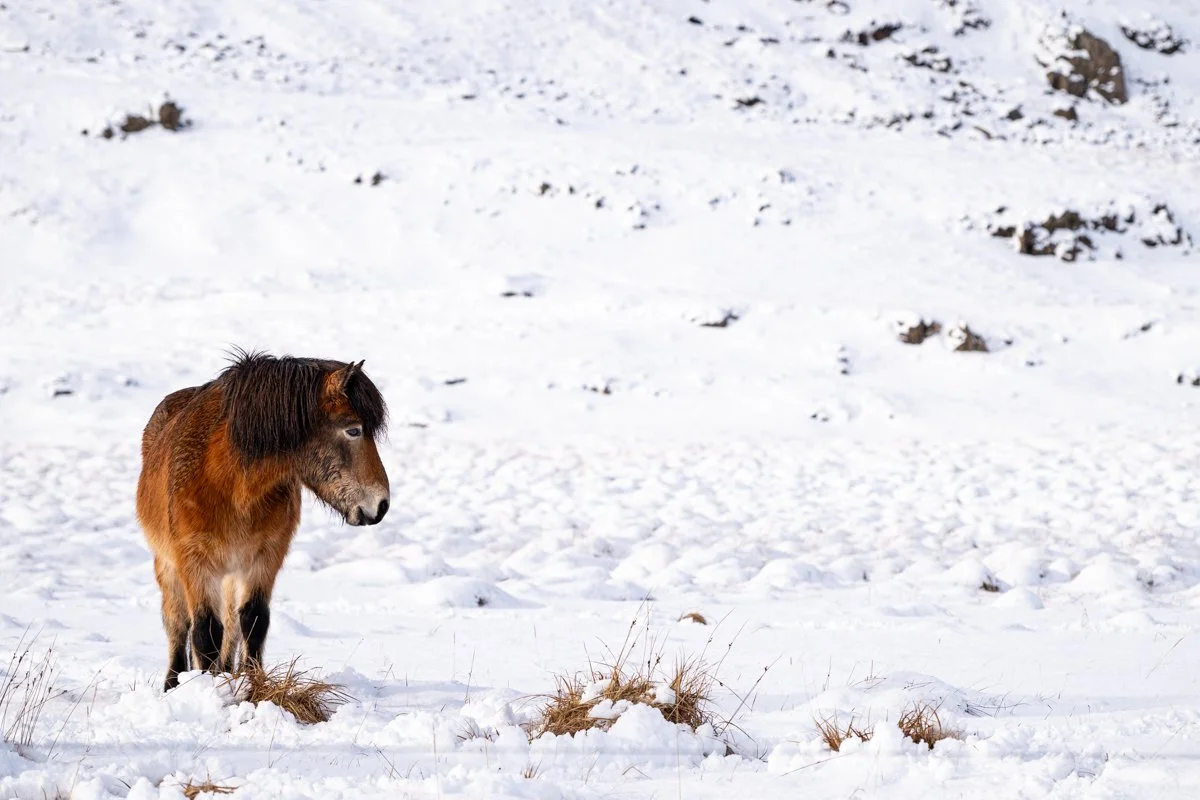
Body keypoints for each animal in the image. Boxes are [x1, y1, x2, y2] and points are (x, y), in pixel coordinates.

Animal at [136, 351, 390, 690]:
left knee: (231, 624)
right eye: (353, 430)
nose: (381, 504)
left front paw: (251, 685)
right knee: (178, 624)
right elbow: (204, 631)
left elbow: (253, 620)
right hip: (167, 565)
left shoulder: (266, 556)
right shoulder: (194, 562)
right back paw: (174, 682)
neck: (232, 485)